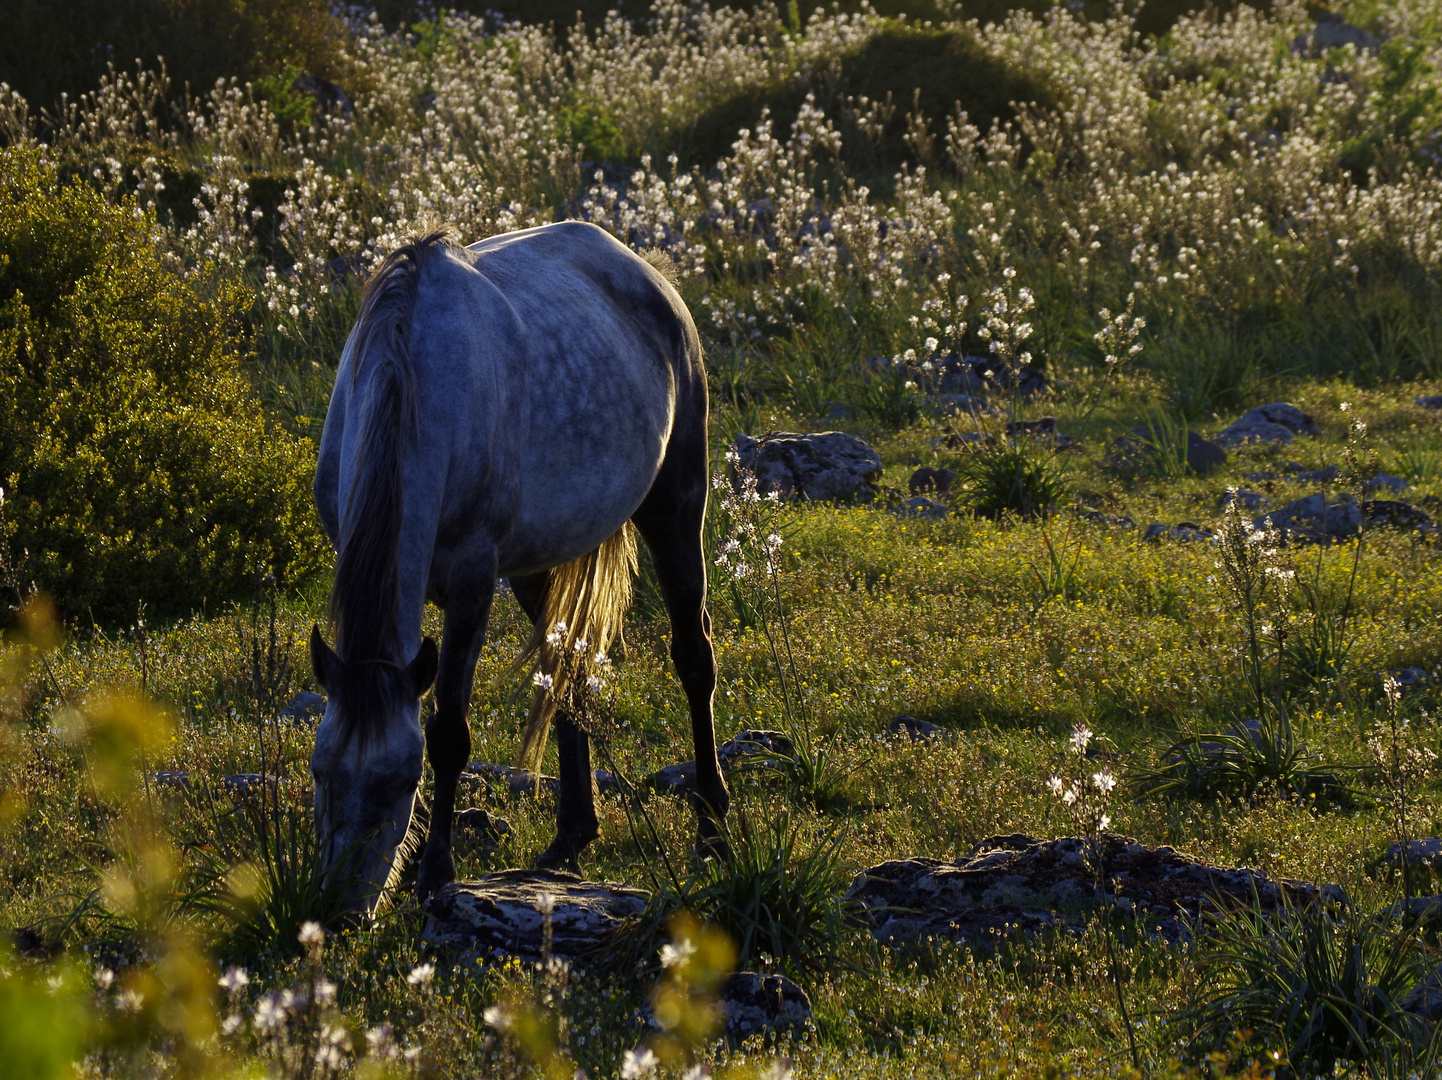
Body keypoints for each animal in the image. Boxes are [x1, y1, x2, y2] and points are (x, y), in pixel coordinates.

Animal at [310, 220, 726, 911]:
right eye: (320, 772)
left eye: (399, 782)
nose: (339, 912)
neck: (411, 380)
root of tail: (645, 271)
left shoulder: (472, 584)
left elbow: (449, 732)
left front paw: (435, 871)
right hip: (539, 563)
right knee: (566, 674)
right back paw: (570, 837)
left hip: (676, 502)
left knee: (694, 657)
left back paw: (713, 827)